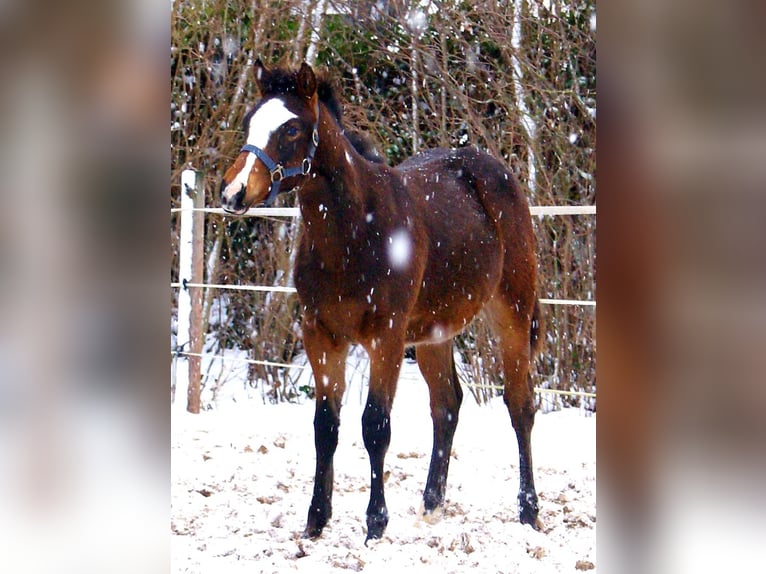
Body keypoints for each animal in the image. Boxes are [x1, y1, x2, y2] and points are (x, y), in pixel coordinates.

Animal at [220, 61, 542, 542]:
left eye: (292, 129)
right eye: (249, 121)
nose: (233, 193)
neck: (351, 234)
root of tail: (495, 171)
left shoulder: (385, 337)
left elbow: (375, 426)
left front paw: (375, 524)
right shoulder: (321, 336)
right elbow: (325, 426)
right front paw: (315, 520)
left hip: (512, 312)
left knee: (520, 406)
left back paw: (529, 511)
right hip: (433, 333)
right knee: (446, 405)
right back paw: (431, 505)